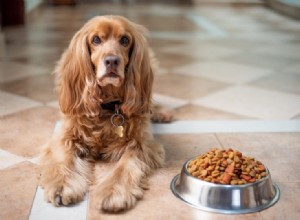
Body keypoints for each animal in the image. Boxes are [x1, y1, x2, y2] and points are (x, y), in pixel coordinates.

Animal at [38, 15, 166, 211]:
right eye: (96, 40)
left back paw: (161, 113)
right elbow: (64, 158)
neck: (108, 107)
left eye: (125, 40)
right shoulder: (65, 136)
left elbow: (124, 166)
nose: (112, 61)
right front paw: (62, 185)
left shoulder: (141, 144)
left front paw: (113, 192)